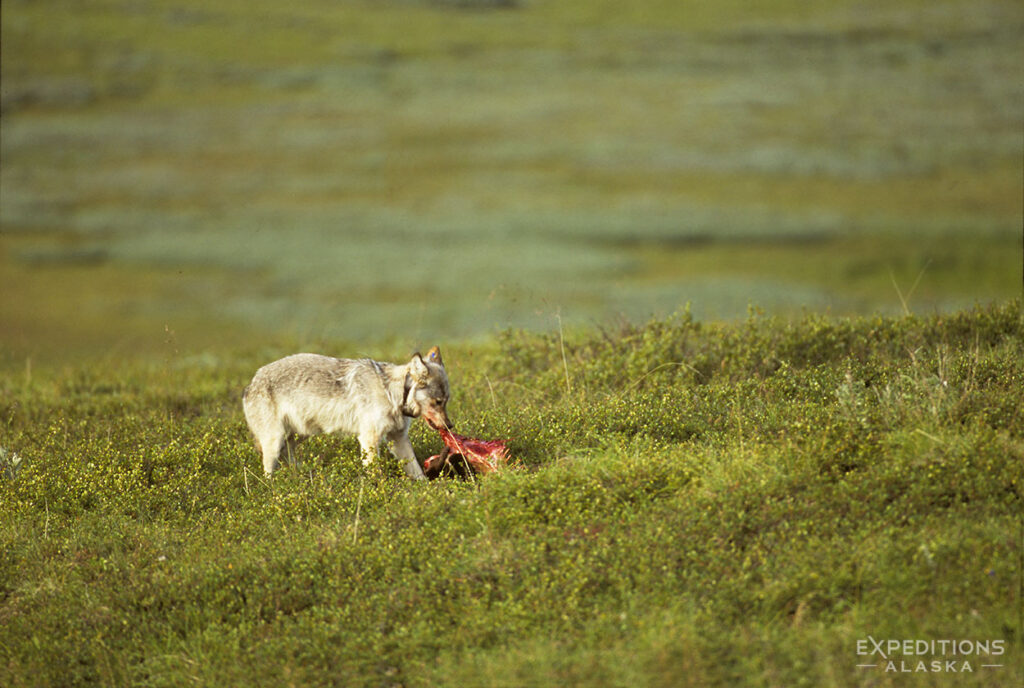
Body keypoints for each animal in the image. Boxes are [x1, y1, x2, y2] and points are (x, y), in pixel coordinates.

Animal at [242, 346, 452, 480]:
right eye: (438, 401)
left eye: (446, 400)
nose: (450, 426)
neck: (394, 392)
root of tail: (250, 384)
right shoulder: (369, 438)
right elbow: (376, 474)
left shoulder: (398, 438)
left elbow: (417, 471)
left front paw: (426, 491)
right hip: (275, 441)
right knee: (268, 473)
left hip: (298, 436)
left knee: (288, 459)